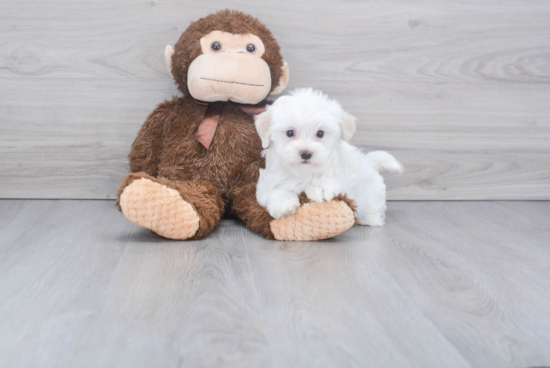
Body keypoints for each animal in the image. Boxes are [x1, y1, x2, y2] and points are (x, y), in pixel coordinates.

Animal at [256, 89, 406, 227]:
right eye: (290, 133)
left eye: (320, 133)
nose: (306, 153)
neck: (304, 172)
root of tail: (369, 161)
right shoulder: (269, 181)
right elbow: (275, 190)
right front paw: (284, 203)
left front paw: (320, 188)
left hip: (371, 194)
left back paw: (368, 218)